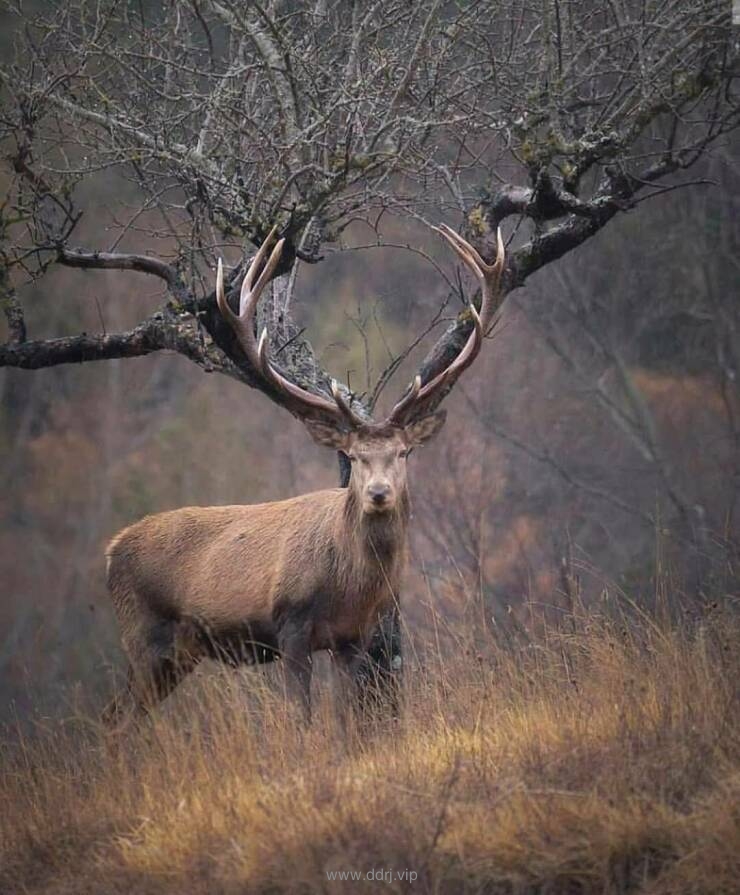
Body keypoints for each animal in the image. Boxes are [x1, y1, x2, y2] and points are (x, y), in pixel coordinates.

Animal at [102, 226, 502, 728]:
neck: (350, 586)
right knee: (118, 716)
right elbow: (302, 719)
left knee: (117, 714)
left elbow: (347, 716)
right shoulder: (289, 625)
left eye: (403, 451)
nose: (378, 493)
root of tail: (110, 553)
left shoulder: (353, 637)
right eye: (353, 455)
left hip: (176, 652)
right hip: (144, 633)